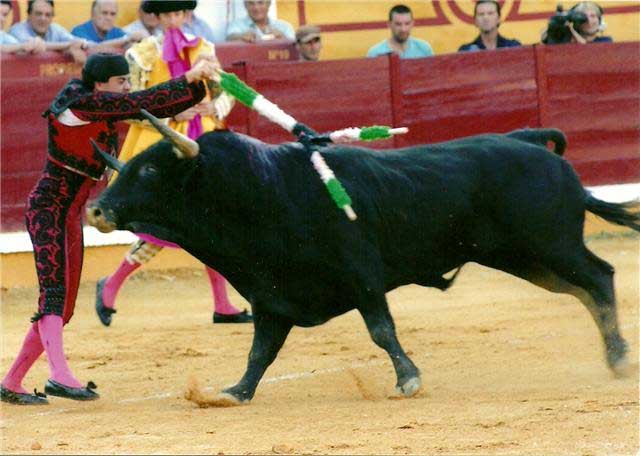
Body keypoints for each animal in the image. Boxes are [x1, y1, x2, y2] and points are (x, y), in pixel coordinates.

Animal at [87, 126, 636, 404]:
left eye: (150, 168)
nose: (95, 209)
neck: (260, 190)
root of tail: (544, 152)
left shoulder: (362, 277)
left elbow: (381, 330)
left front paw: (408, 380)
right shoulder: (271, 296)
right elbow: (260, 351)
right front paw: (234, 392)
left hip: (549, 245)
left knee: (599, 277)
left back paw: (619, 358)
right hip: (524, 257)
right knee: (585, 290)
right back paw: (613, 356)